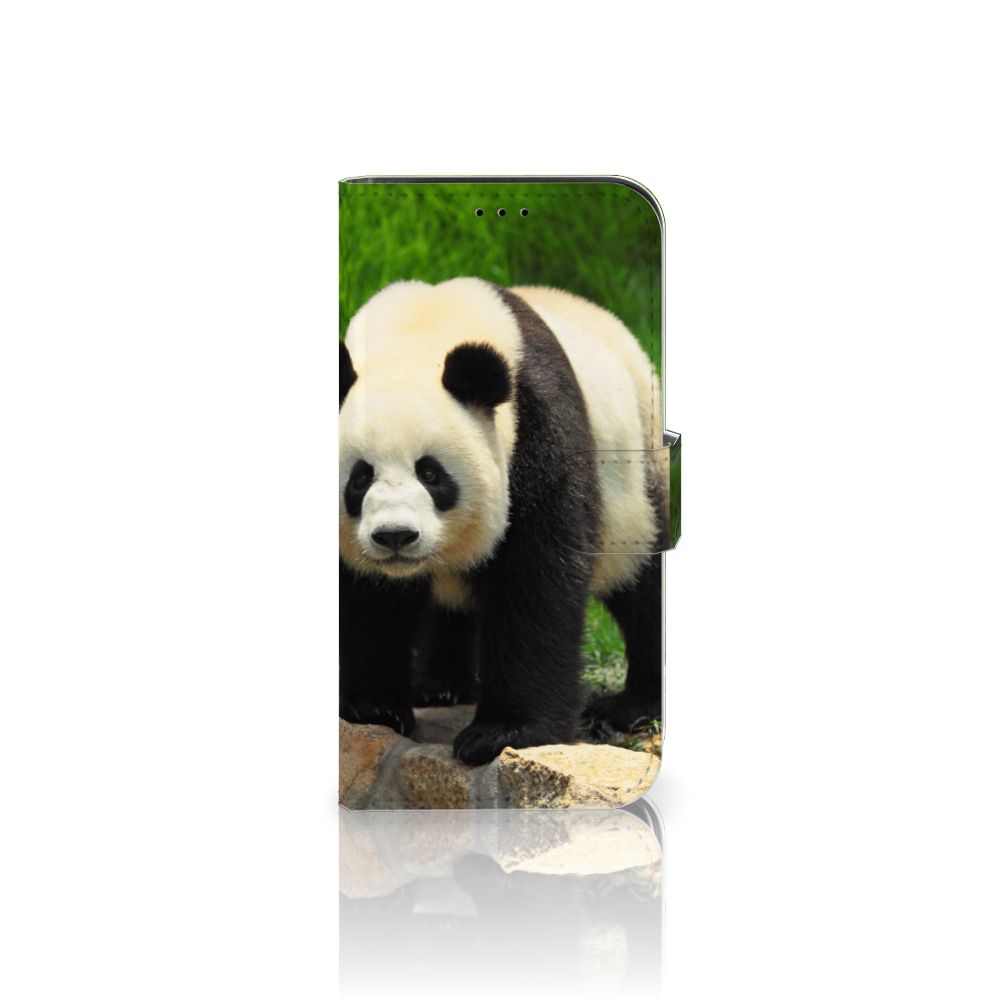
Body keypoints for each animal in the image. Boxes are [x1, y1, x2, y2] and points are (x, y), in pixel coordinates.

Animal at [339, 277, 666, 765]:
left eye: (431, 473)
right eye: (360, 477)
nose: (395, 536)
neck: (418, 332)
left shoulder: (535, 428)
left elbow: (535, 580)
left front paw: (502, 733)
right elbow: (368, 600)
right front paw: (372, 707)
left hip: (636, 475)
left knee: (643, 581)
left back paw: (635, 705)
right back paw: (440, 686)